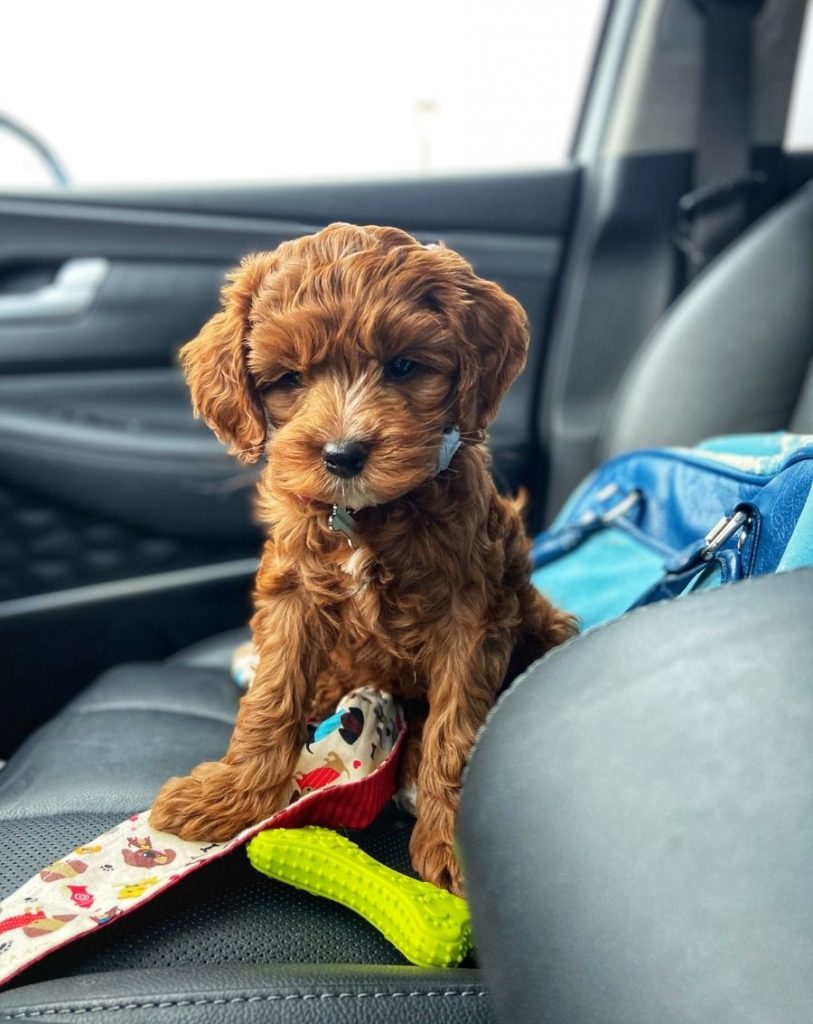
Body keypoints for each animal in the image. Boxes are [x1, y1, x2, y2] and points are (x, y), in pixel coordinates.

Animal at [150, 226, 569, 897]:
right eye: (289, 378)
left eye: (403, 366)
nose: (342, 454)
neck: (366, 517)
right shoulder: (293, 589)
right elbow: (272, 692)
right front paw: (234, 796)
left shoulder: (473, 609)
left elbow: (457, 722)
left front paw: (451, 839)